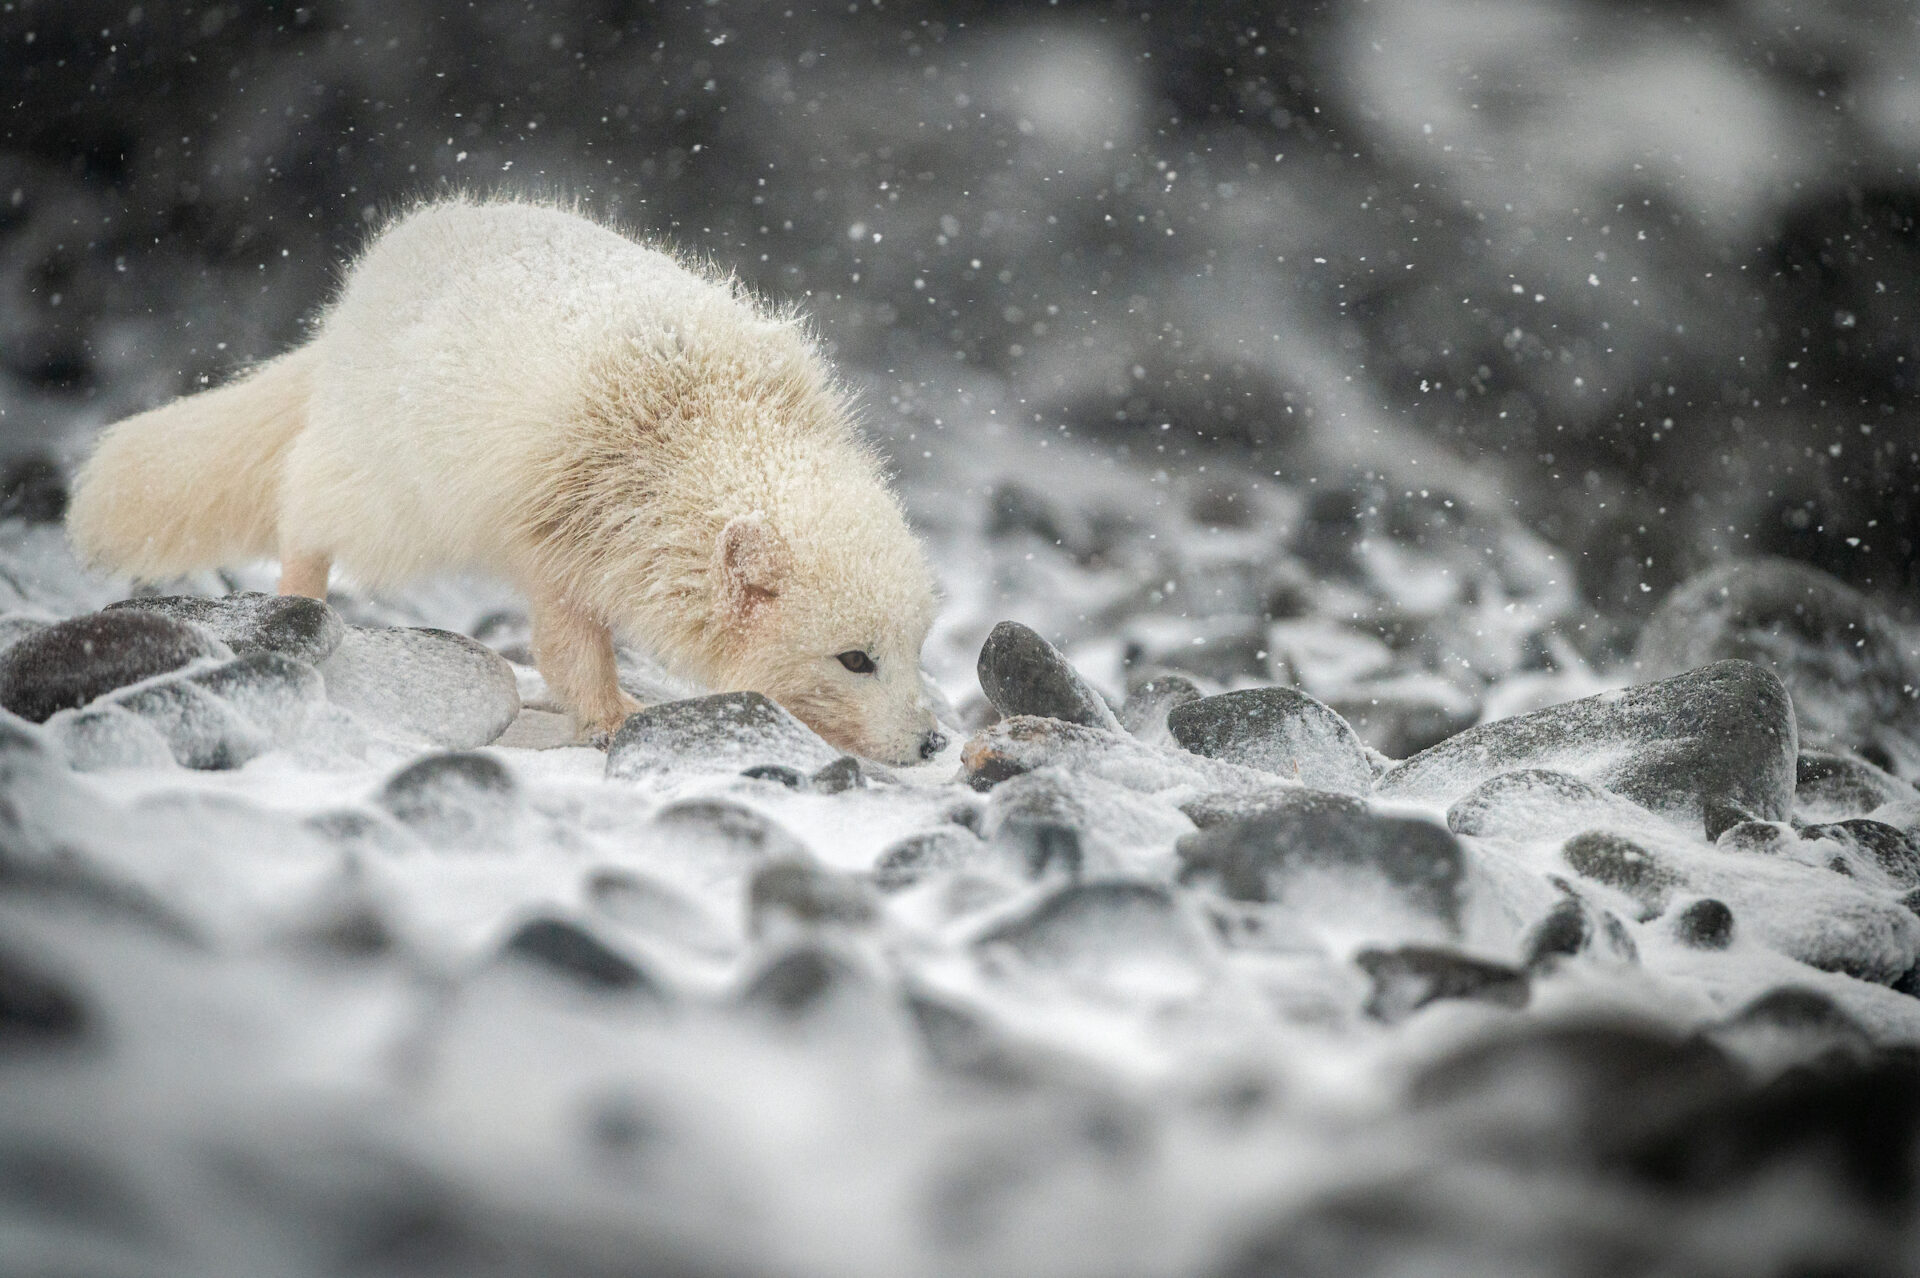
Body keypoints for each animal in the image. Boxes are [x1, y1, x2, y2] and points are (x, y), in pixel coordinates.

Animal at [67, 193, 944, 759]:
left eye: (914, 647)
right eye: (854, 660)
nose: (934, 741)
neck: (704, 425)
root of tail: (347, 309)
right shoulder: (559, 540)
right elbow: (565, 652)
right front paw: (612, 717)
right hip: (387, 495)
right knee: (303, 508)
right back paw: (298, 603)